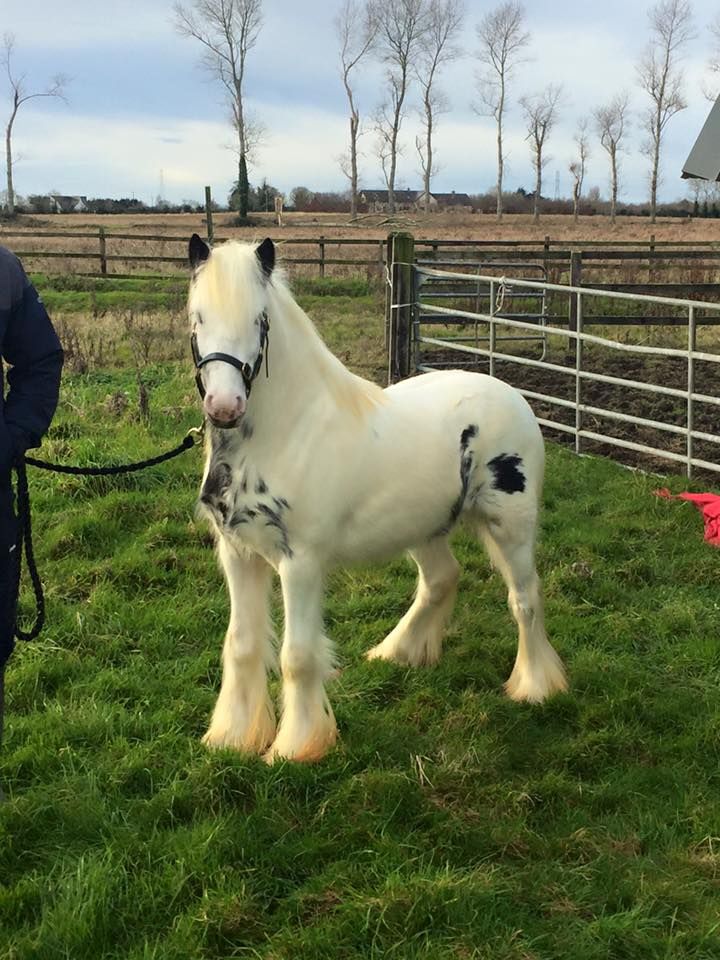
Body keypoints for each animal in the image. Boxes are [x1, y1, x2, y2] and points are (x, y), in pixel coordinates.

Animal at [187, 234, 568, 764]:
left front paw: (298, 746)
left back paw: (534, 687)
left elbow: (297, 656)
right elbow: (242, 645)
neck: (286, 433)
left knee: (525, 598)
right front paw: (234, 737)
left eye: (260, 320)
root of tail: (512, 395)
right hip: (423, 526)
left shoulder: (300, 563)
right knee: (441, 579)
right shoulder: (239, 554)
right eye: (197, 316)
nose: (225, 407)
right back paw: (399, 652)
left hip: (510, 525)